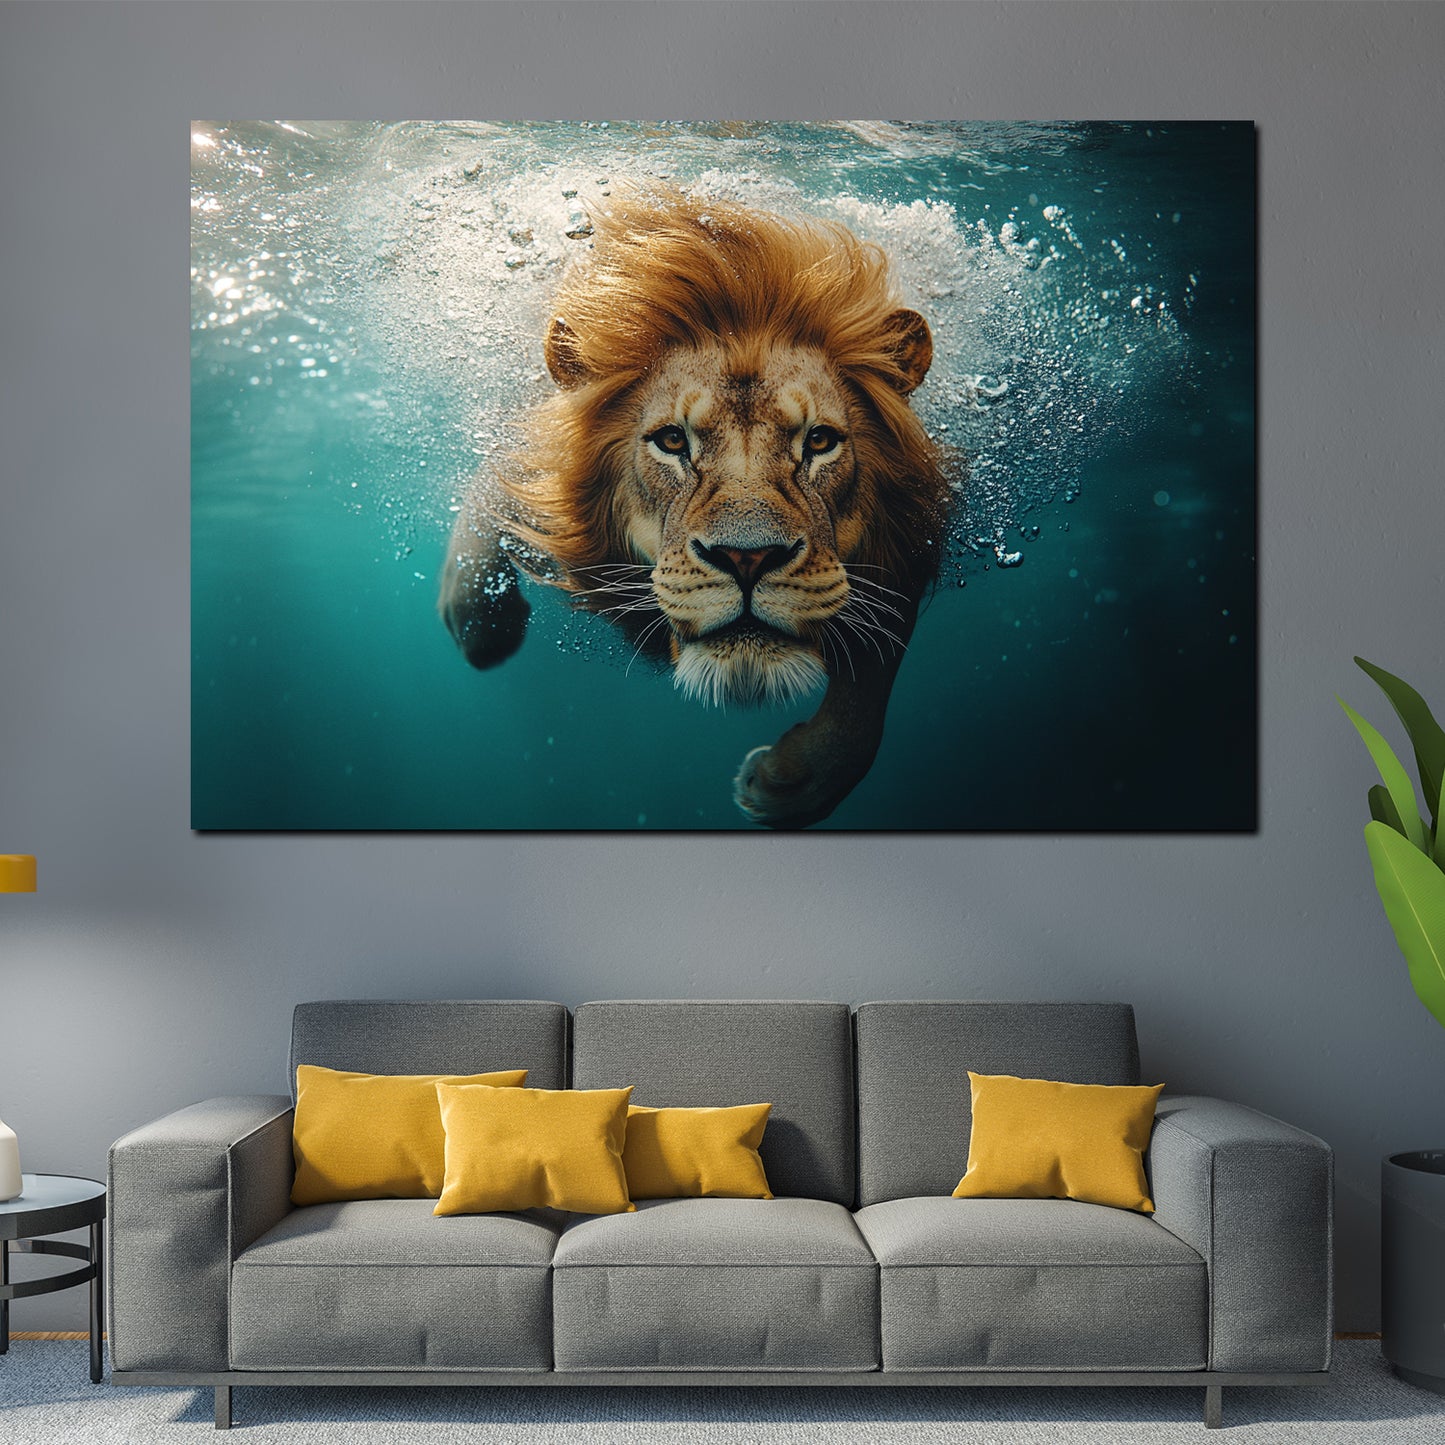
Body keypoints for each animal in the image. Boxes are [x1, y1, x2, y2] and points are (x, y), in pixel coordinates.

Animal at [439, 187, 951, 828]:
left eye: (818, 441)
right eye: (672, 441)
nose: (747, 559)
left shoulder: (907, 544)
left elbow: (871, 685)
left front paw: (793, 783)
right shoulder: (538, 488)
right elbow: (486, 497)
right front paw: (484, 628)